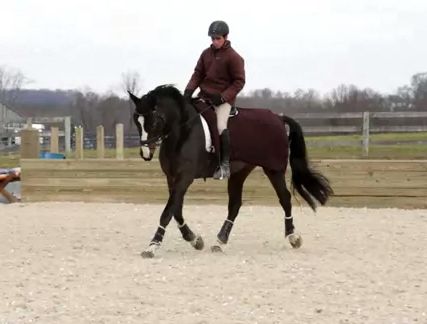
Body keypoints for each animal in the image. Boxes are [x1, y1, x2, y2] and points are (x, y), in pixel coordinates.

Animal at [129, 85, 332, 256]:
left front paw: (152, 246)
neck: (182, 132)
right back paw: (220, 241)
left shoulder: (185, 178)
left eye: (155, 121)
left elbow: (167, 212)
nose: (145, 153)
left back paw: (293, 237)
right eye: (137, 122)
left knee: (285, 198)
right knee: (235, 204)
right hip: (239, 173)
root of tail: (278, 117)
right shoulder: (172, 178)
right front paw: (195, 240)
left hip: (273, 169)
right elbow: (176, 210)